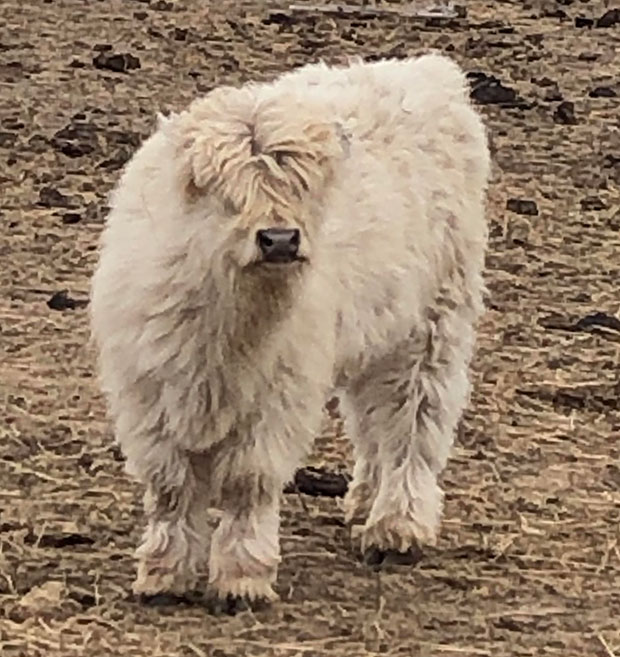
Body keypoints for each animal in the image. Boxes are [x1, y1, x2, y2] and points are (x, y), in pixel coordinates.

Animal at [89, 53, 492, 608]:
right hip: (374, 333)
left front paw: (241, 578)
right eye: (228, 194)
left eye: (302, 189)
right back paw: (363, 499)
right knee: (372, 419)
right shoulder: (149, 395)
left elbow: (247, 482)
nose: (279, 239)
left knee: (414, 422)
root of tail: (424, 69)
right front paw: (165, 574)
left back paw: (396, 526)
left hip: (434, 325)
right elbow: (171, 486)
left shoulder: (278, 394)